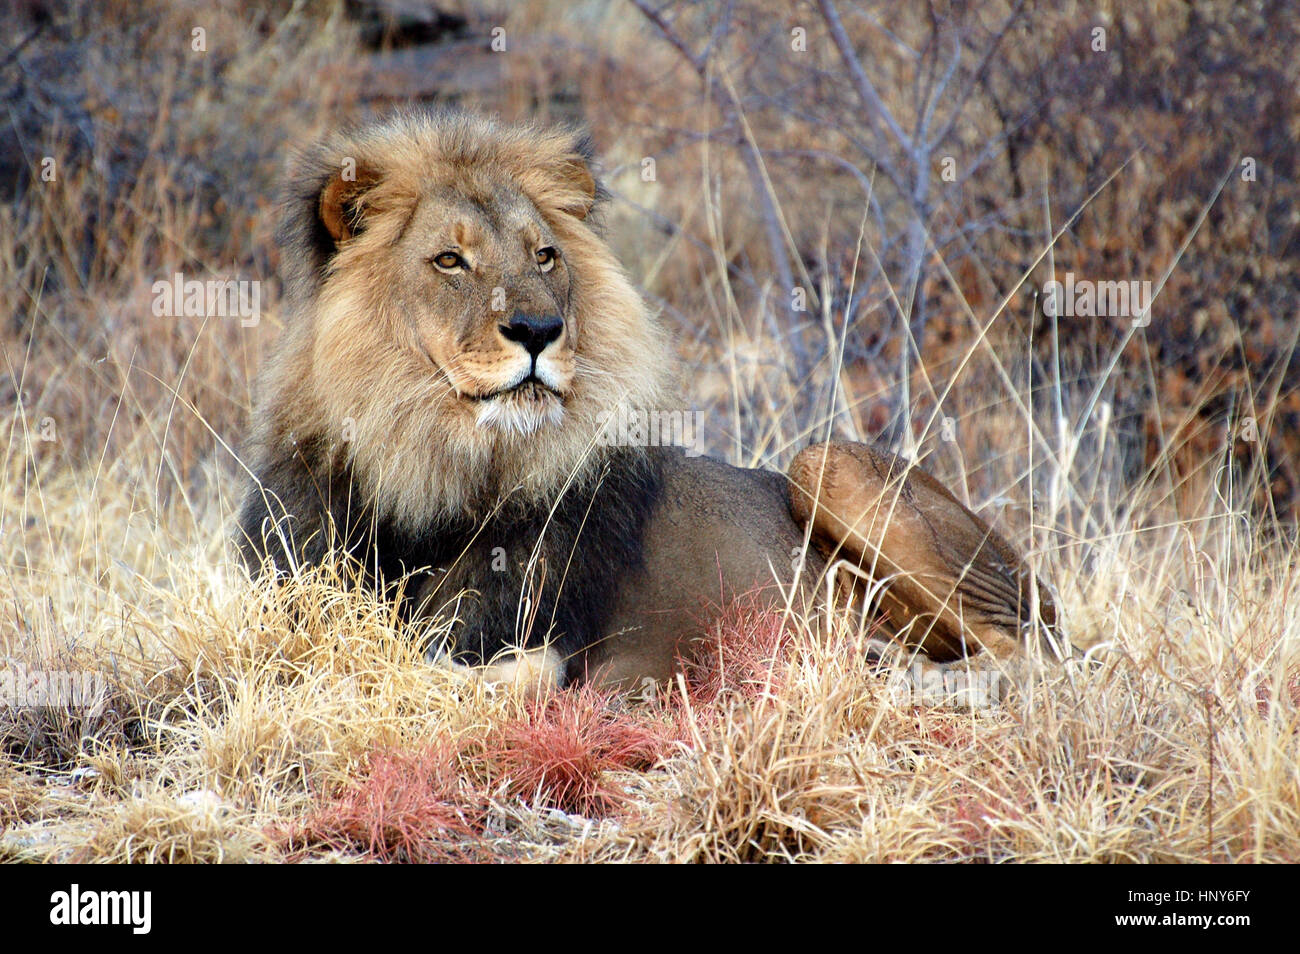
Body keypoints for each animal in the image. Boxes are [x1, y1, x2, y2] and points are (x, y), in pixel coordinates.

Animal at [239, 110, 1060, 696]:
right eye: (449, 260)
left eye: (545, 255)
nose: (538, 329)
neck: (431, 465)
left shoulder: (569, 647)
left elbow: (498, 672)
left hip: (831, 466)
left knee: (1030, 656)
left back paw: (899, 674)